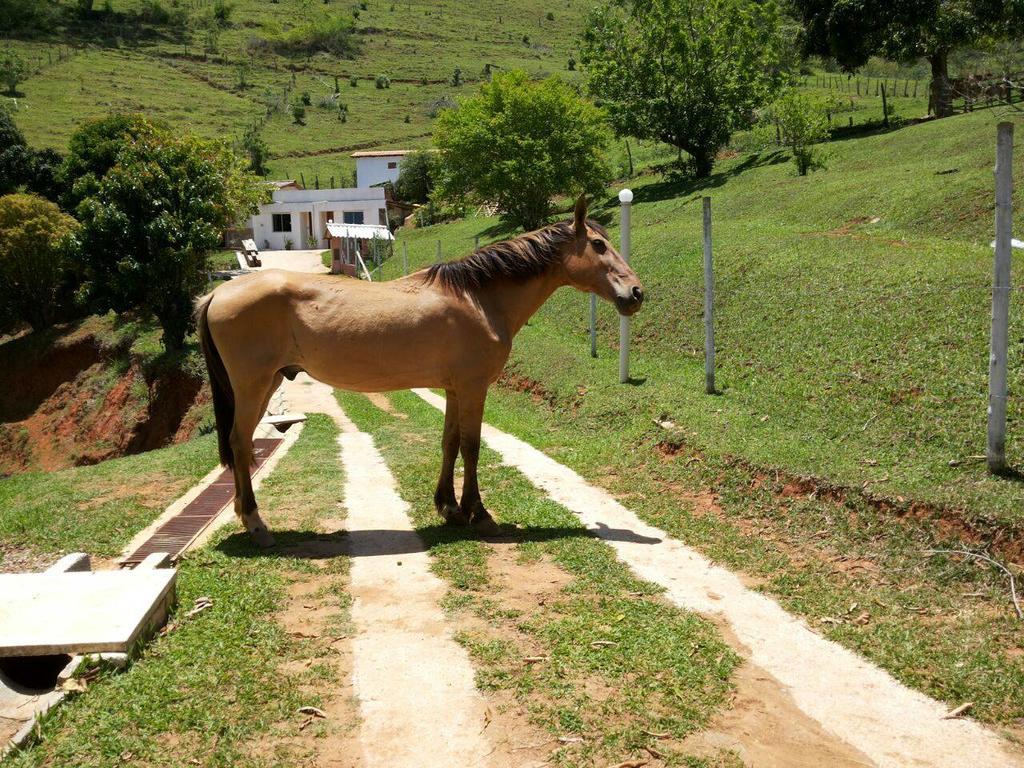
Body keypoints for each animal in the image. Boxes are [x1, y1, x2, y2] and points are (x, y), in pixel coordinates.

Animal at [195, 198, 643, 548]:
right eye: (599, 245)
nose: (636, 293)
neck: (479, 298)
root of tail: (217, 293)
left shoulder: (454, 389)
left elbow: (450, 444)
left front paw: (449, 507)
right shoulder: (474, 387)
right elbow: (472, 446)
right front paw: (479, 514)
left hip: (267, 382)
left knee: (239, 444)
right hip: (253, 385)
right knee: (240, 443)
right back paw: (257, 524)